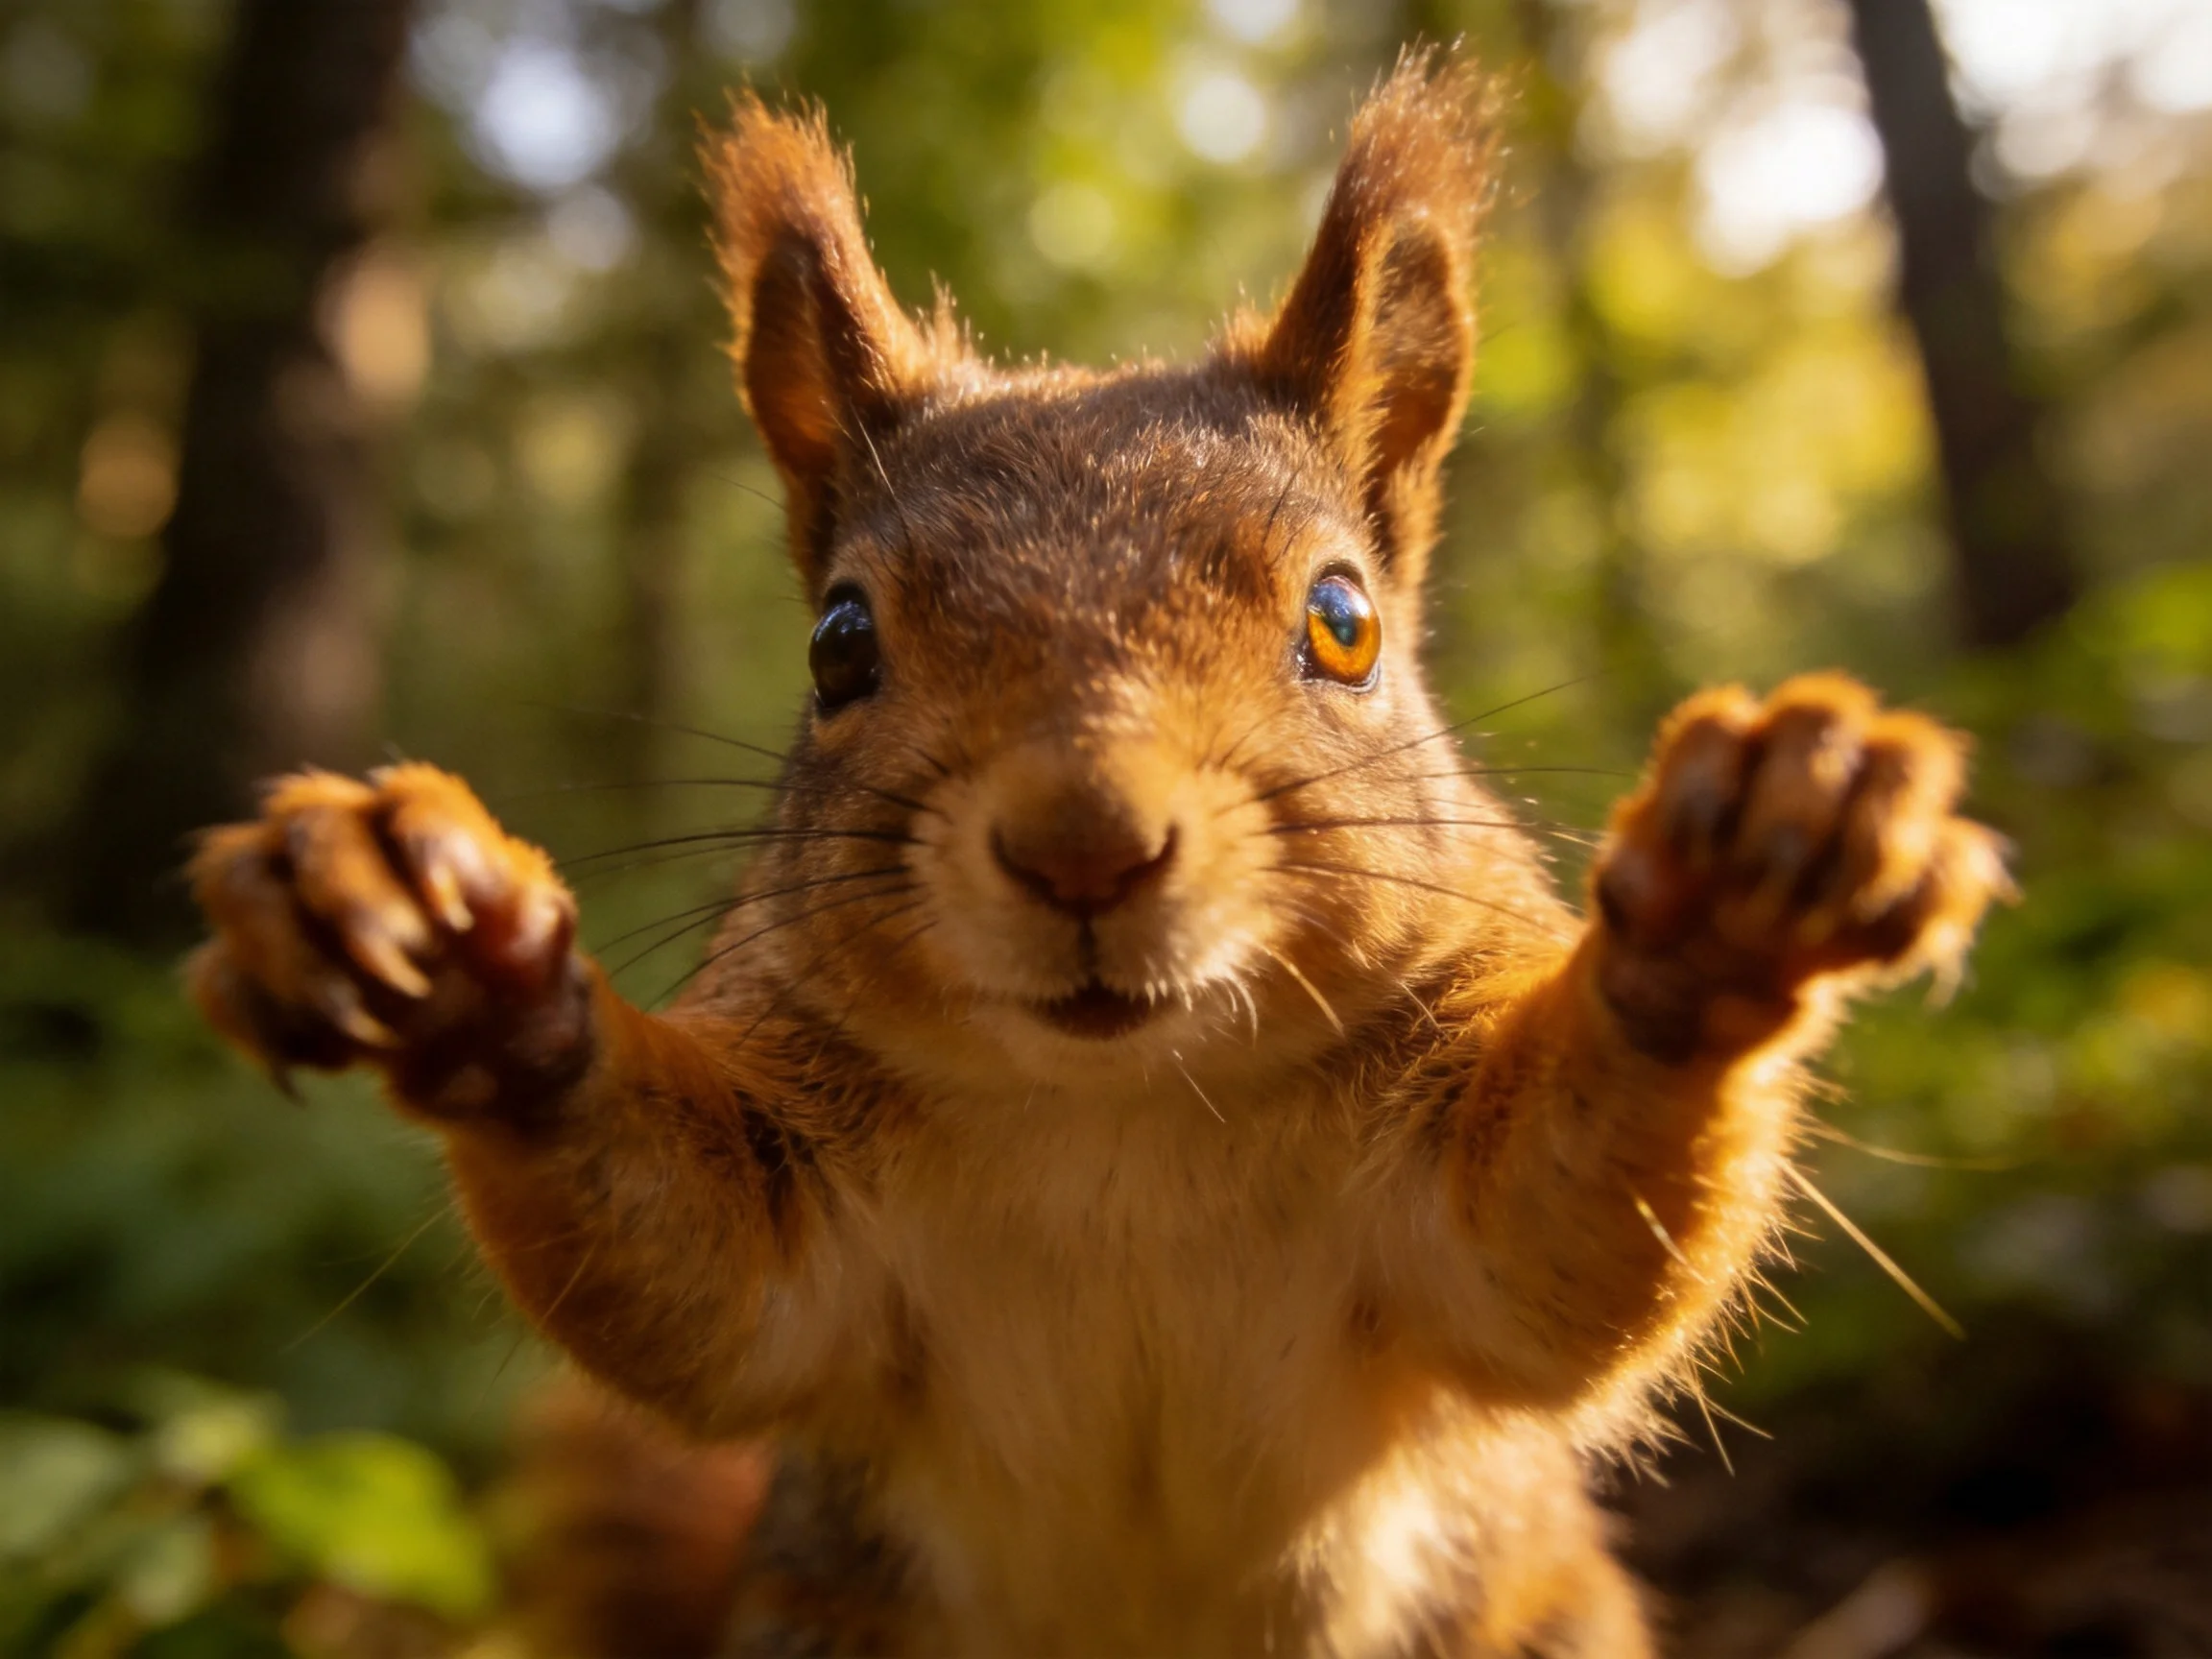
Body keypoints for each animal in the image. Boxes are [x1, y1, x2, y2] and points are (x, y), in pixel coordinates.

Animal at [184, 53, 2010, 1659]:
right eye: (837, 643)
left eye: (1343, 620)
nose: (1083, 841)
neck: (1127, 1118)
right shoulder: (806, 1225)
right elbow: (691, 1282)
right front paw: (447, 949)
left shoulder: (1443, 1222)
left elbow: (1561, 1242)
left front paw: (1730, 893)